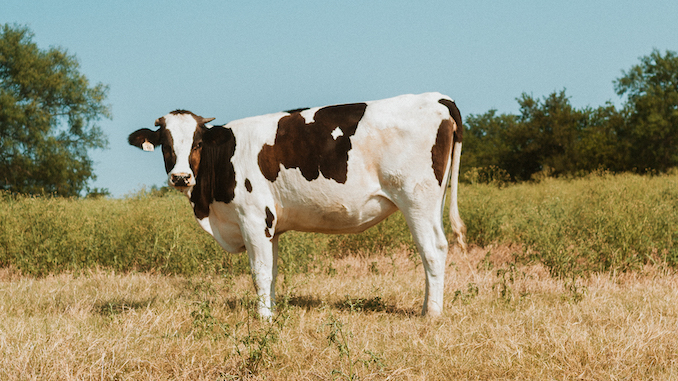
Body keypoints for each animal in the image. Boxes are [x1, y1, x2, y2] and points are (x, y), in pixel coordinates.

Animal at [129, 93, 468, 318]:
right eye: (166, 145)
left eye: (198, 143)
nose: (181, 177)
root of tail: (437, 98)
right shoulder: (271, 226)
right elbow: (272, 270)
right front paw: (272, 311)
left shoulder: (253, 219)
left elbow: (259, 271)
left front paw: (264, 318)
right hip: (432, 202)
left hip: (417, 199)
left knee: (433, 250)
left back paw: (431, 314)